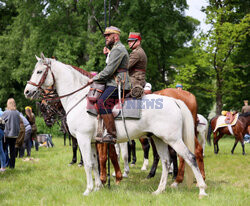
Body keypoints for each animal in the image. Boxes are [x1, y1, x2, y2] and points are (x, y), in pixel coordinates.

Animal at [23, 54, 207, 198]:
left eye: (39, 71)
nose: (27, 91)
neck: (79, 98)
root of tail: (175, 100)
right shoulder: (93, 142)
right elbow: (96, 163)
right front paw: (98, 187)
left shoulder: (83, 139)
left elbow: (89, 163)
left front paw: (88, 190)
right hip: (159, 139)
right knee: (166, 161)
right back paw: (159, 190)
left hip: (173, 139)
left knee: (190, 157)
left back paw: (201, 189)